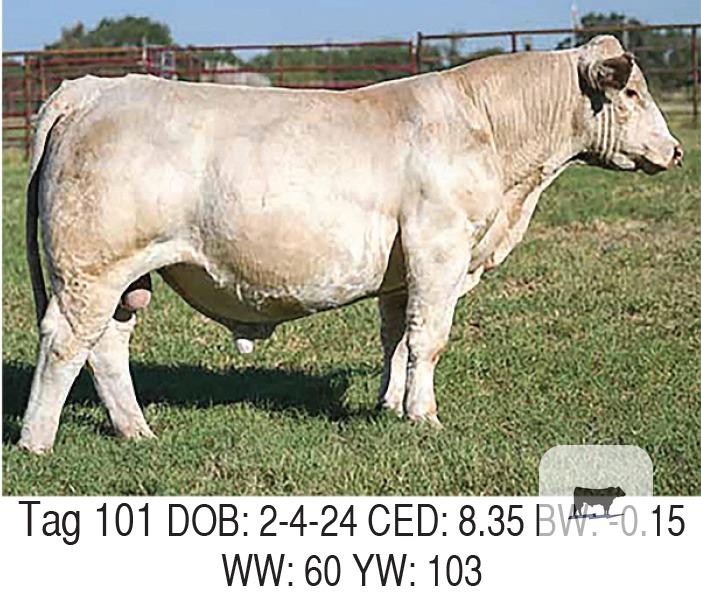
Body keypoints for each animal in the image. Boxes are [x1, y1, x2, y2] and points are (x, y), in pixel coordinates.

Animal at [20, 35, 682, 453]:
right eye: (630, 94)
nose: (675, 151)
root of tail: (93, 88)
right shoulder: (440, 247)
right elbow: (429, 337)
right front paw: (423, 416)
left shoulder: (403, 266)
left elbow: (396, 336)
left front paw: (389, 406)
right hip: (91, 268)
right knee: (65, 343)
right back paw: (36, 442)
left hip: (125, 277)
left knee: (106, 348)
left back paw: (136, 432)